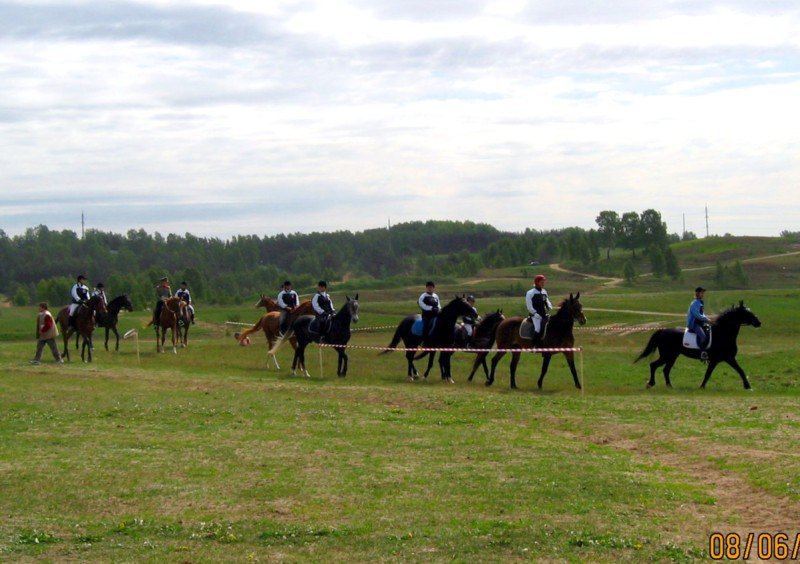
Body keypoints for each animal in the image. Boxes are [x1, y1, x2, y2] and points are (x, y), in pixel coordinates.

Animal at [636, 302, 764, 390]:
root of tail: (663, 331)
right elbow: (739, 370)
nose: (758, 322)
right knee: (654, 365)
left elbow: (709, 374)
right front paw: (748, 386)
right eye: (747, 313)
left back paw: (669, 386)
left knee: (665, 369)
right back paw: (651, 384)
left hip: (673, 356)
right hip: (667, 355)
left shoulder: (718, 360)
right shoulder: (727, 358)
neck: (723, 333)